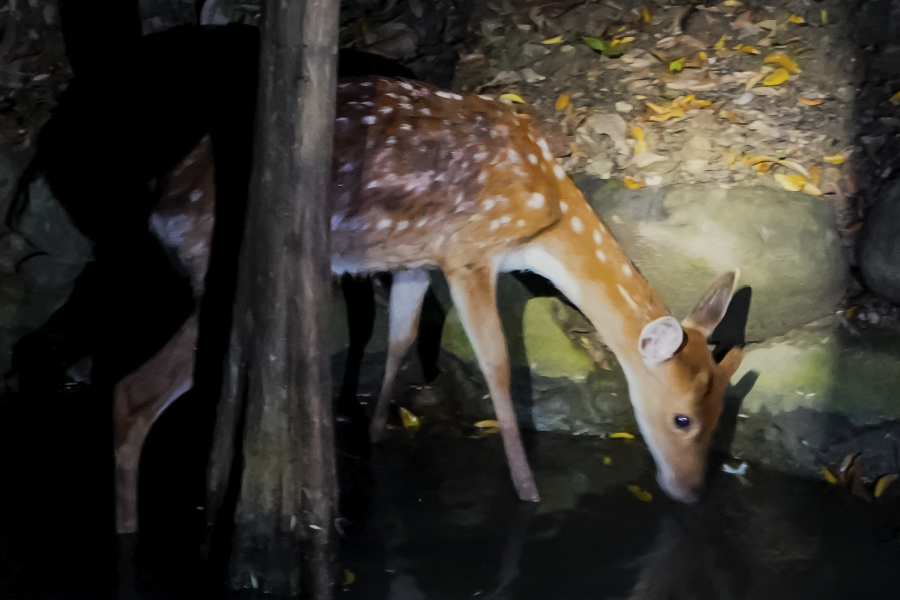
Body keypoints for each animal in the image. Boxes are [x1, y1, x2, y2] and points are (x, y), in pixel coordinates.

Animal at [112, 76, 740, 536]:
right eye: (683, 418)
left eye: (720, 414)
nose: (691, 493)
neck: (545, 217)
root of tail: (160, 205)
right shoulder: (468, 253)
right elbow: (498, 369)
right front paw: (528, 493)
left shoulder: (414, 258)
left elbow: (402, 336)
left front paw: (375, 433)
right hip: (223, 273)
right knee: (131, 394)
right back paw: (128, 527)